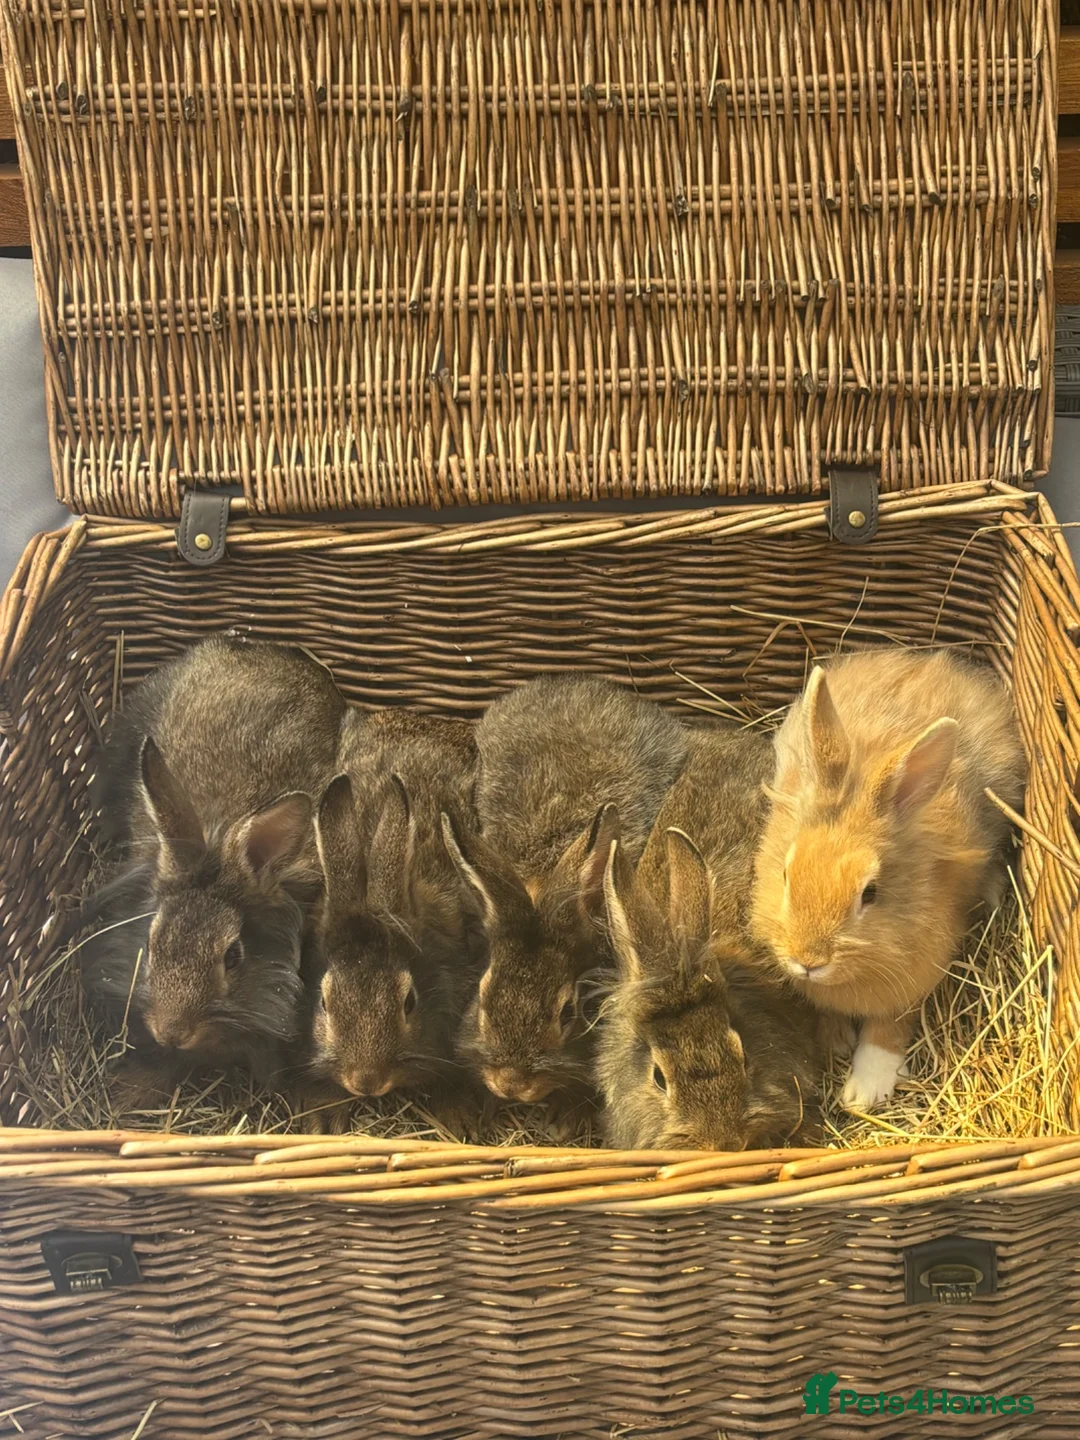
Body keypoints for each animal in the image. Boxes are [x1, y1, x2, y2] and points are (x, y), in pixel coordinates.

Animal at [751, 646, 1027, 1112]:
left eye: (871, 893)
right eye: (786, 873)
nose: (808, 960)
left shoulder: (914, 979)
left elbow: (889, 1029)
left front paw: (865, 1092)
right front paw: (835, 1040)